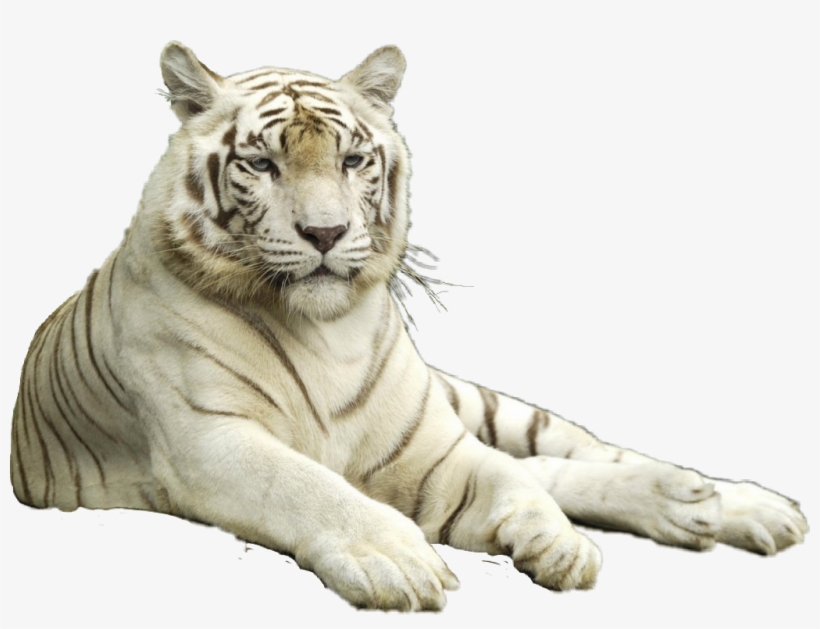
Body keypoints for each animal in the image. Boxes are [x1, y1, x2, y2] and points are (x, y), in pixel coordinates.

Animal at [9, 42, 808, 612]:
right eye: (262, 164)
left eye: (353, 159)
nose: (325, 232)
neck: (325, 332)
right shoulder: (210, 440)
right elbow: (305, 485)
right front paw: (397, 559)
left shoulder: (432, 449)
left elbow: (510, 478)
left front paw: (560, 545)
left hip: (480, 404)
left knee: (566, 454)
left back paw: (727, 501)